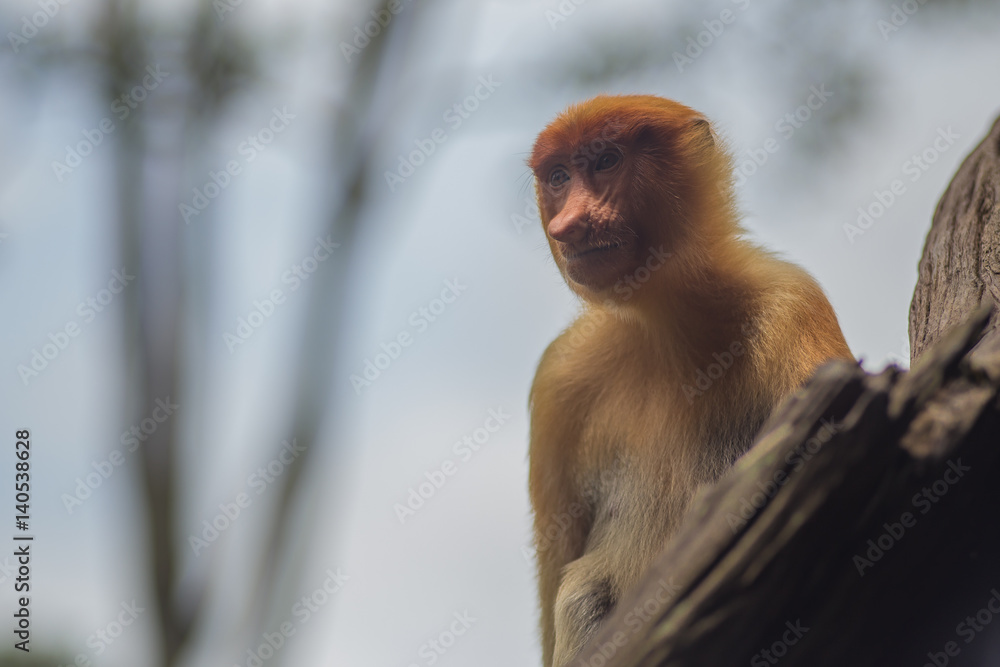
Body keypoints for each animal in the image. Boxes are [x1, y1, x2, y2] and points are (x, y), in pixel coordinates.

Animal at [526, 95, 852, 667]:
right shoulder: (560, 374)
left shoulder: (790, 304)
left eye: (607, 161)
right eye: (559, 175)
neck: (663, 326)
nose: (568, 225)